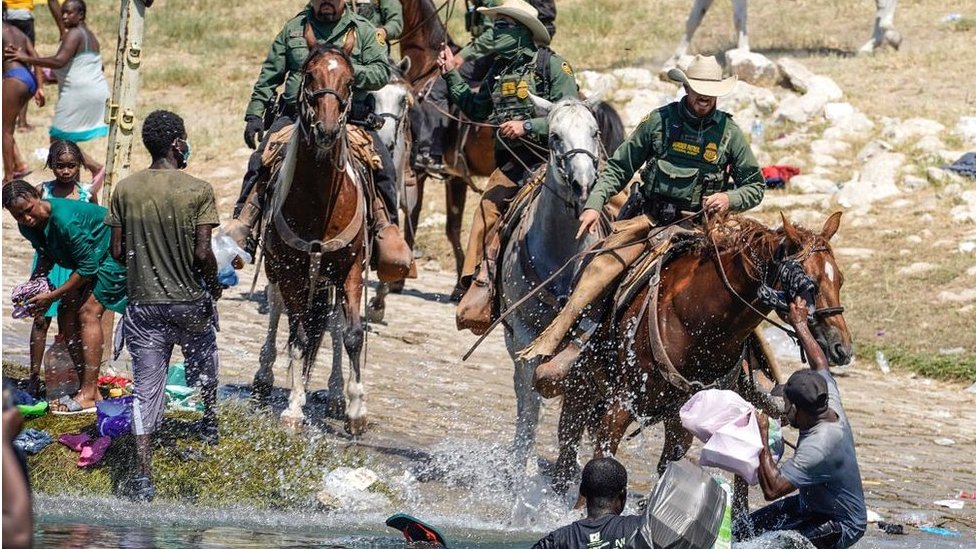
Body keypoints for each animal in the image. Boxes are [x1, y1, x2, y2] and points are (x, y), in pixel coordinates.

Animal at [252, 35, 370, 436]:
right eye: (308, 75)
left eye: (350, 80)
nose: (327, 130)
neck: (320, 205)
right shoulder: (291, 273)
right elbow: (299, 337)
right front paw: (293, 408)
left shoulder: (351, 269)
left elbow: (352, 335)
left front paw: (356, 409)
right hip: (279, 271)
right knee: (277, 312)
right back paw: (264, 379)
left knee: (332, 324)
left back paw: (335, 395)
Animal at [552, 212, 852, 490]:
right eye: (810, 283)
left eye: (840, 280)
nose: (842, 347)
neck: (698, 322)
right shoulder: (621, 405)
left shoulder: (680, 419)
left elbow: (667, 470)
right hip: (580, 385)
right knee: (565, 453)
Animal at [672, 0, 900, 63]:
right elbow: (693, 19)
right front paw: (675, 59)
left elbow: (738, 20)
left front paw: (742, 54)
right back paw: (871, 45)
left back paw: (889, 35)